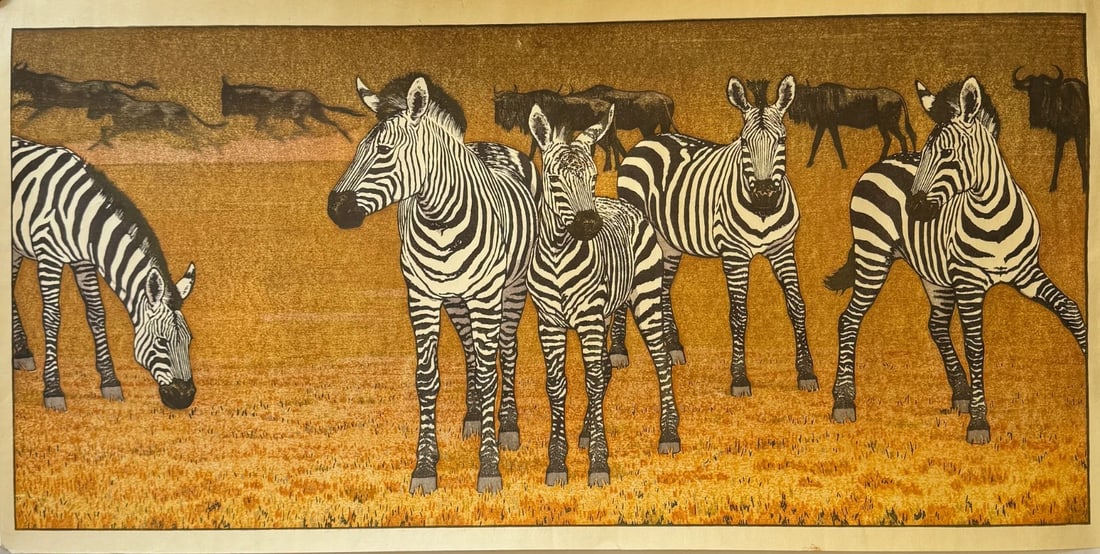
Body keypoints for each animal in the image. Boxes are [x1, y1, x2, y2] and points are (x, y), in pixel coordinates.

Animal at [11, 136, 198, 411]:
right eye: (161, 342)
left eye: (189, 341)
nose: (185, 398)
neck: (85, 220)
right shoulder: (49, 257)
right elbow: (52, 319)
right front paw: (53, 390)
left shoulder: (84, 262)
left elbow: (97, 314)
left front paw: (110, 382)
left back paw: (21, 351)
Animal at [326, 73, 538, 495]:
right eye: (358, 150)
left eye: (384, 151)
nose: (335, 209)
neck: (439, 217)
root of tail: (488, 144)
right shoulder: (421, 297)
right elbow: (427, 379)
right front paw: (425, 466)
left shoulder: (486, 296)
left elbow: (490, 373)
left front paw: (489, 467)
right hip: (455, 299)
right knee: (472, 350)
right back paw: (473, 417)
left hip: (511, 288)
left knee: (506, 350)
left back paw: (508, 426)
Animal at [525, 103, 680, 488]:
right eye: (554, 180)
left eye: (592, 178)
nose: (589, 225)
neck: (558, 254)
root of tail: (623, 203)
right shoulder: (549, 322)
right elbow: (556, 384)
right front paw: (557, 463)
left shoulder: (588, 318)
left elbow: (592, 381)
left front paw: (598, 463)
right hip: (608, 311)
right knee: (607, 366)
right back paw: (585, 430)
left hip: (645, 299)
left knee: (660, 360)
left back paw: (669, 434)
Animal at [615, 75, 818, 396]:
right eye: (744, 141)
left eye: (782, 140)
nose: (763, 195)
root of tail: (648, 141)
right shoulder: (735, 255)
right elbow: (739, 315)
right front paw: (739, 378)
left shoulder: (783, 250)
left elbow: (797, 306)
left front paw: (807, 372)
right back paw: (618, 352)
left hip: (668, 241)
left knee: (663, 287)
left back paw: (672, 347)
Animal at [824, 77, 1087, 443]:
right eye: (925, 155)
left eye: (947, 153)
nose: (914, 209)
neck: (991, 216)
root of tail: (881, 163)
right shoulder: (969, 283)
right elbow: (975, 346)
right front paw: (979, 422)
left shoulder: (1028, 273)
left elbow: (1070, 309)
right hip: (873, 255)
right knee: (849, 320)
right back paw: (844, 400)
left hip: (933, 274)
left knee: (935, 325)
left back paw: (960, 391)